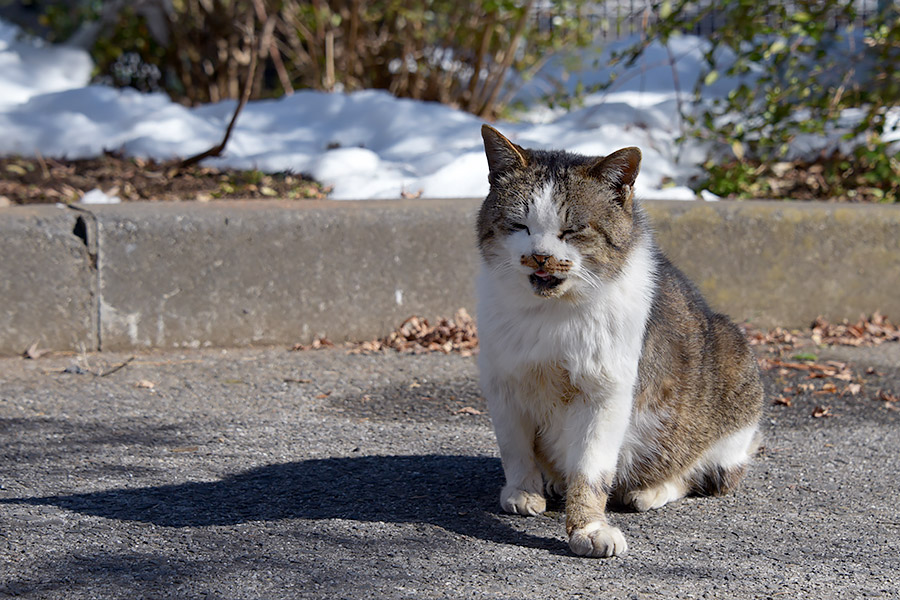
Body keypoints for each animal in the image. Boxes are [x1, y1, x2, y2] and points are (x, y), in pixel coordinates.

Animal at [474, 125, 764, 556]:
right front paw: (523, 490)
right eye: (519, 226)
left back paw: (650, 490)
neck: (551, 315)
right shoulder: (504, 384)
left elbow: (590, 469)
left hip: (735, 362)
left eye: (573, 231)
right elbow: (515, 449)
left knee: (700, 474)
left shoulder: (605, 394)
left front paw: (589, 526)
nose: (540, 256)